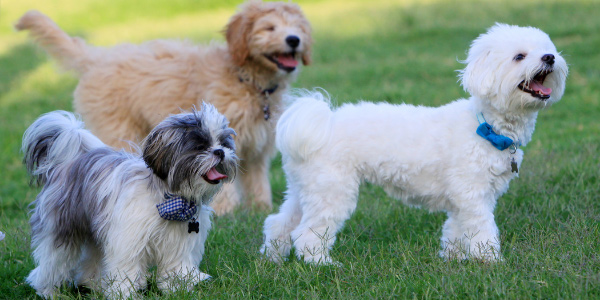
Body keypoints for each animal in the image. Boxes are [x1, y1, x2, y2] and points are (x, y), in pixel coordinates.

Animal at [15, 0, 312, 216]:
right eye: (270, 28)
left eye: (296, 27)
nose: (294, 39)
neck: (246, 79)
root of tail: (98, 58)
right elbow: (219, 174)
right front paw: (225, 210)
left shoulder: (256, 146)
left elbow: (257, 181)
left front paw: (261, 209)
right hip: (118, 128)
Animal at [23, 103, 239, 298]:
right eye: (200, 146)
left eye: (224, 143)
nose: (220, 152)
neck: (170, 199)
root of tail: (68, 163)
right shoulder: (128, 241)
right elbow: (125, 270)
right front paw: (124, 294)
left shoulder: (179, 244)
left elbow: (175, 268)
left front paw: (179, 290)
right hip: (62, 228)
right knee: (53, 262)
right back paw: (48, 290)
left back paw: (93, 285)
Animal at [258, 25, 568, 264]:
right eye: (519, 56)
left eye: (547, 49)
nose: (550, 57)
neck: (485, 126)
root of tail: (321, 122)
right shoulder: (473, 195)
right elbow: (482, 231)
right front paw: (490, 261)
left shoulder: (464, 200)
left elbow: (456, 230)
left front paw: (454, 259)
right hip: (332, 191)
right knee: (307, 233)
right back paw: (320, 264)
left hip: (305, 189)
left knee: (279, 223)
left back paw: (273, 259)